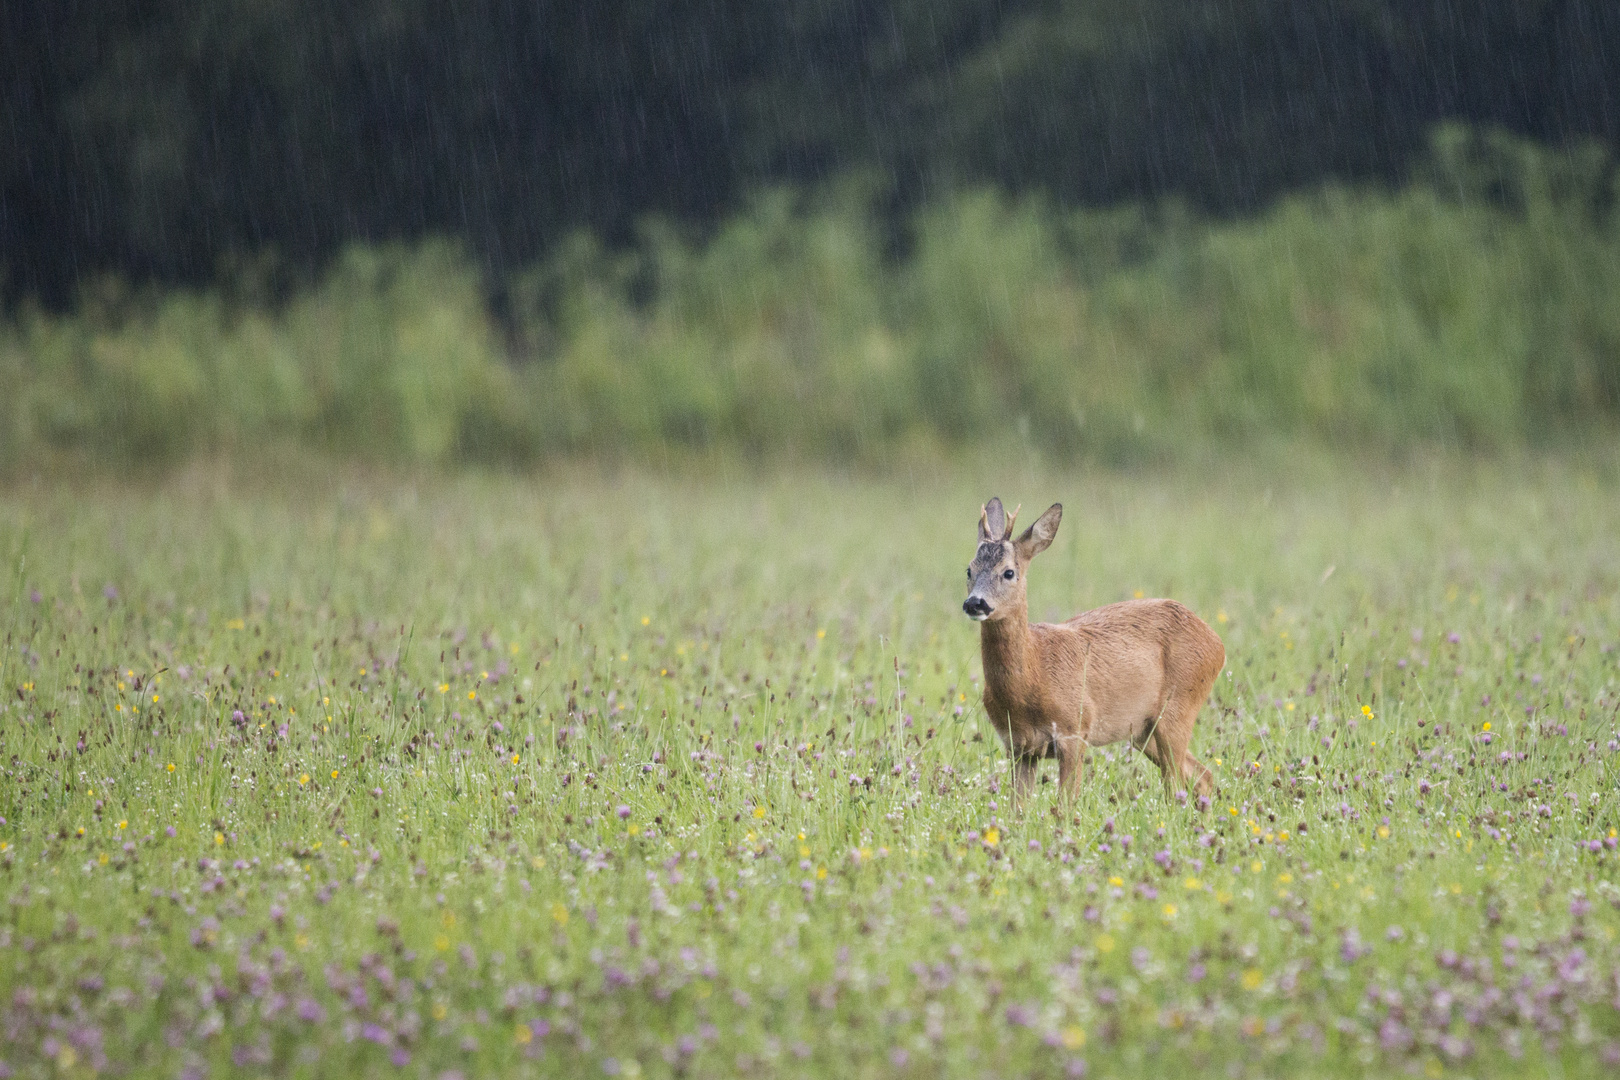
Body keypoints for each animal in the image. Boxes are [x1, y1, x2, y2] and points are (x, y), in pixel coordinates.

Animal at [952, 498, 1218, 803]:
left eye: (1009, 572)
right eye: (969, 570)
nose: (975, 603)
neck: (1034, 673)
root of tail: (1217, 642)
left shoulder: (1075, 729)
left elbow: (1066, 804)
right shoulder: (1018, 746)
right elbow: (1018, 807)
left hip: (1179, 708)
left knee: (1175, 786)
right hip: (1142, 730)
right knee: (1202, 775)